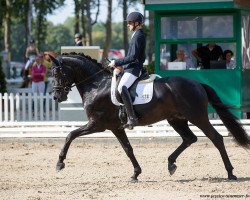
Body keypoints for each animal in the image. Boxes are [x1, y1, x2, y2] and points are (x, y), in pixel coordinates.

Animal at [49, 53, 250, 181]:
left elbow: (70, 135)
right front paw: (136, 173)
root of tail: (198, 83)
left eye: (58, 73)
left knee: (216, 138)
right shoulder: (115, 127)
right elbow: (128, 149)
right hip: (176, 119)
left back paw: (230, 173)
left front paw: (59, 163)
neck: (97, 85)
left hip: (197, 117)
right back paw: (171, 164)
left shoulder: (97, 124)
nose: (57, 97)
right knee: (189, 138)